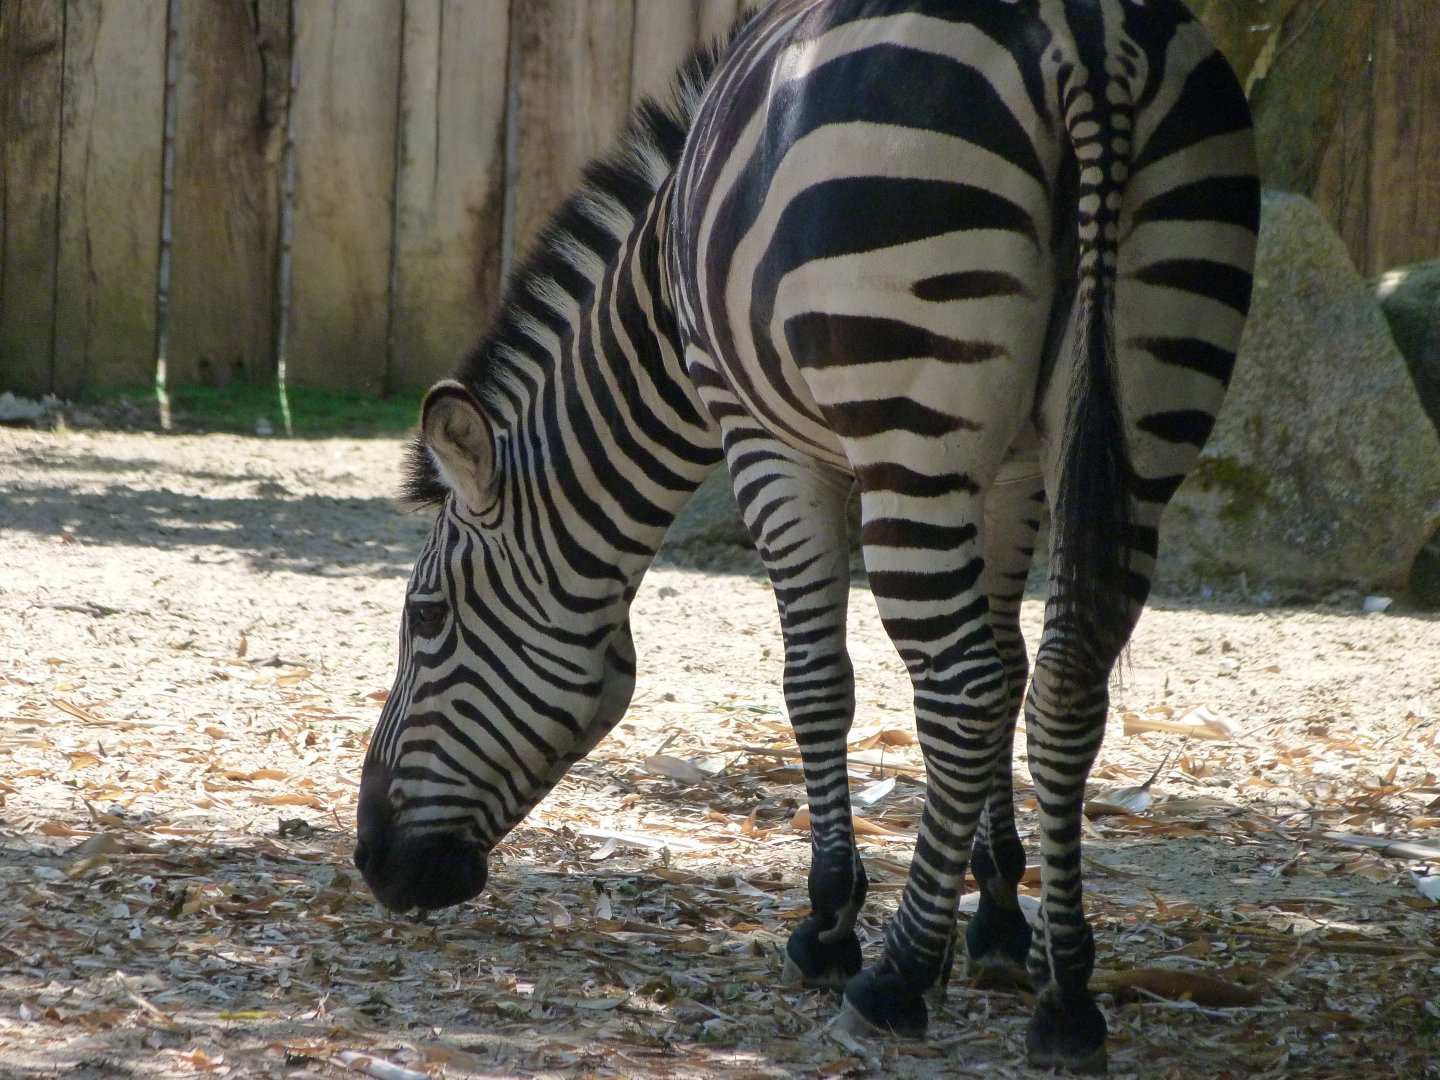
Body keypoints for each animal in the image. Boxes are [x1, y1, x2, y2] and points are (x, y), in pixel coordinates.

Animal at [353, 0, 1257, 1070]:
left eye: (426, 617)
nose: (372, 862)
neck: (659, 298)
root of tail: (1084, 32)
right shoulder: (1014, 466)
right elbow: (1013, 658)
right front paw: (1000, 920)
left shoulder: (763, 439)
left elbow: (818, 684)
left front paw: (831, 924)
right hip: (1154, 384)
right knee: (1064, 684)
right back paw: (1069, 998)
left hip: (905, 398)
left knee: (960, 686)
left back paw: (894, 978)